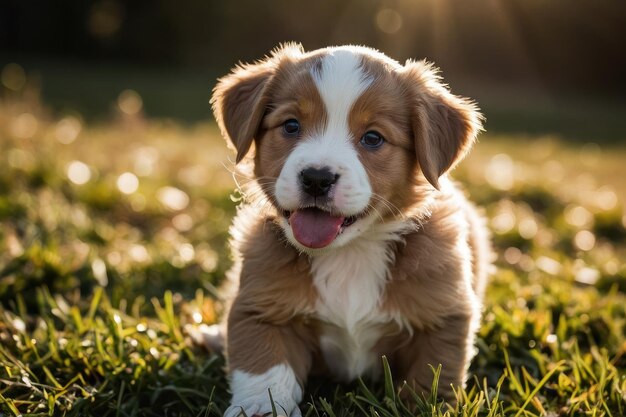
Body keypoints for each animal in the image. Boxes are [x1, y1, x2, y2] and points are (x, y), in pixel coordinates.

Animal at [211, 44, 492, 414]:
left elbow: (431, 377)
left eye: (372, 138)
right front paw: (260, 409)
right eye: (291, 126)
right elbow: (264, 369)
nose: (317, 178)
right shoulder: (261, 309)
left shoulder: (443, 317)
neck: (349, 253)